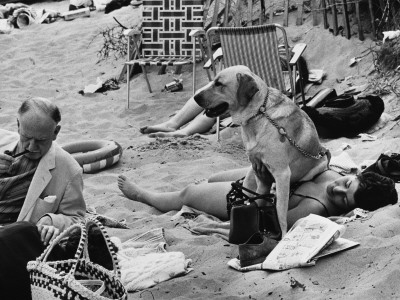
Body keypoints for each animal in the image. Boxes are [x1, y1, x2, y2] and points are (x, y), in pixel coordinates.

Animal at [195, 65, 330, 237]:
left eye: (219, 84)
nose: (195, 97)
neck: (259, 112)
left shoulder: (282, 174)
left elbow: (280, 211)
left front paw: (282, 235)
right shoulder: (257, 169)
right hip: (250, 176)